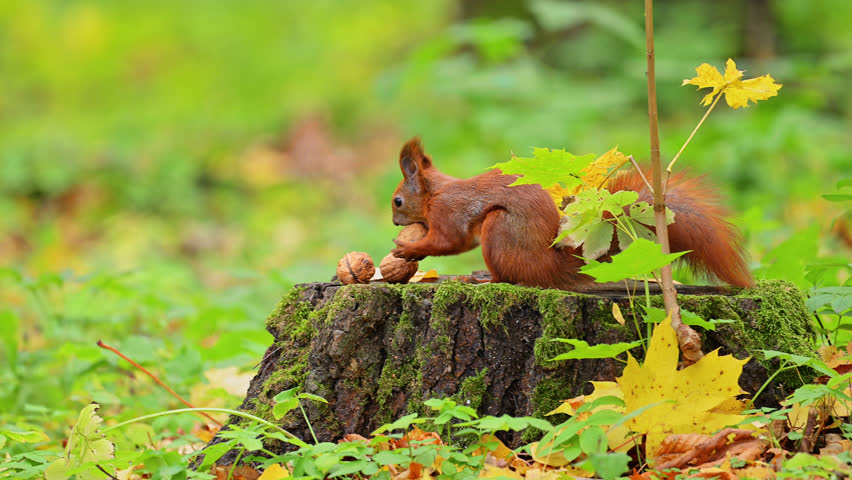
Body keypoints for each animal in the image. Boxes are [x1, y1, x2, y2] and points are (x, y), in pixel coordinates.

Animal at [390, 138, 754, 291]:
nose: (394, 222)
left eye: (397, 201)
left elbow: (452, 242)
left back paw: (481, 279)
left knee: (509, 277)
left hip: (500, 228)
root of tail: (551, 268)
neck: (435, 193)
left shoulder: (449, 211)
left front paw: (407, 249)